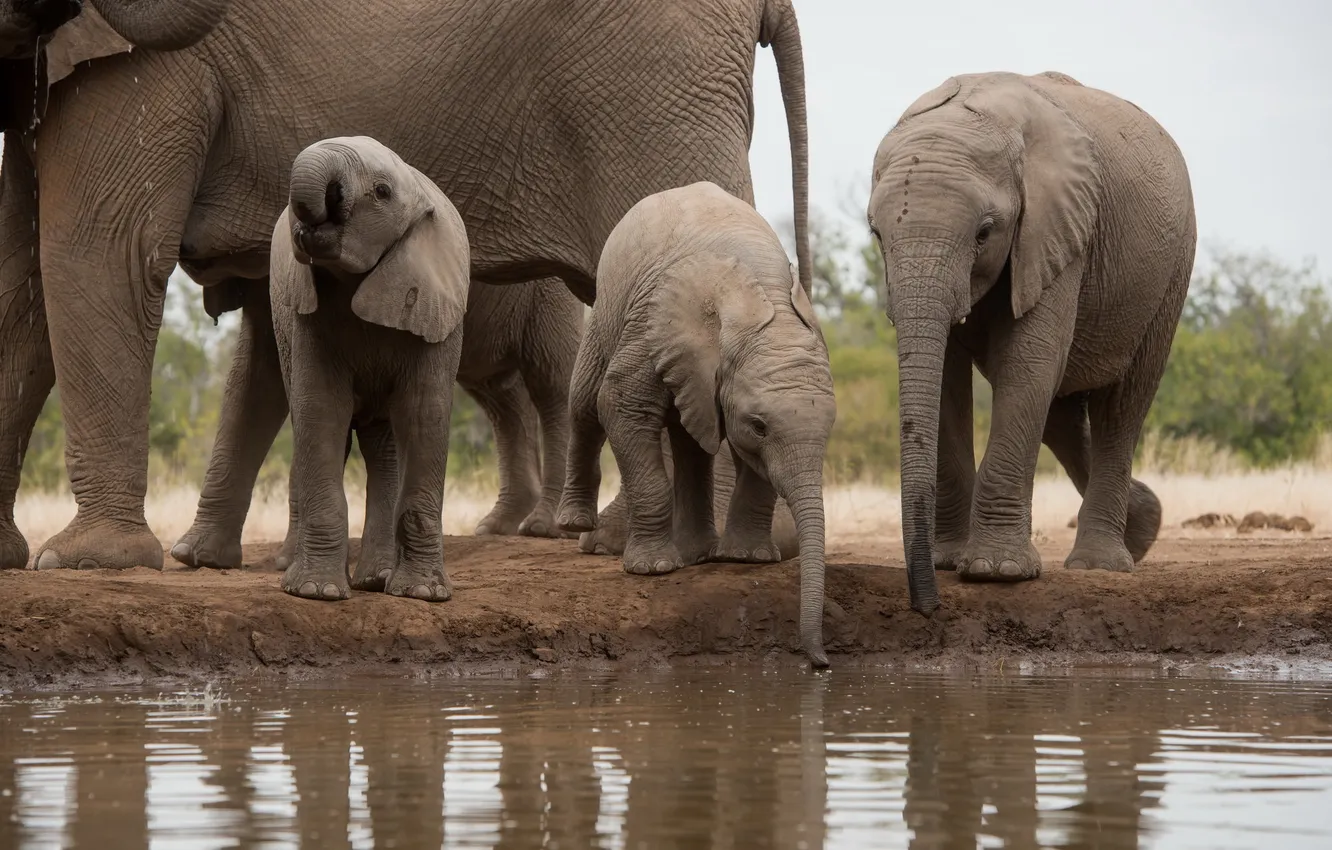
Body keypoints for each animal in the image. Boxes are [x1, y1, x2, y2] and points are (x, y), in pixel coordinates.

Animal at [271, 136, 470, 602]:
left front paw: (424, 595)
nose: (314, 211)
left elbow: (424, 415)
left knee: (386, 445)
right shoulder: (309, 317)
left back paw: (377, 580)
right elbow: (321, 410)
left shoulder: (436, 310)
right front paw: (316, 592)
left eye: (381, 192)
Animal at [557, 181, 836, 667]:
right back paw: (575, 525)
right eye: (760, 426)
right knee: (585, 404)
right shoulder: (652, 327)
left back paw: (698, 553)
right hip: (610, 304)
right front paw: (652, 570)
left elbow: (749, 462)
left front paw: (746, 560)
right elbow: (620, 407)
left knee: (690, 439)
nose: (820, 662)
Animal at [865, 71, 1196, 614]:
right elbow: (948, 380)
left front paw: (995, 572)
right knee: (1061, 414)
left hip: (1171, 271)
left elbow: (1029, 363)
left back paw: (1102, 564)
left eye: (984, 233)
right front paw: (949, 561)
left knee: (1121, 407)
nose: (927, 605)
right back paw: (1143, 528)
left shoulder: (1059, 230)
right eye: (875, 233)